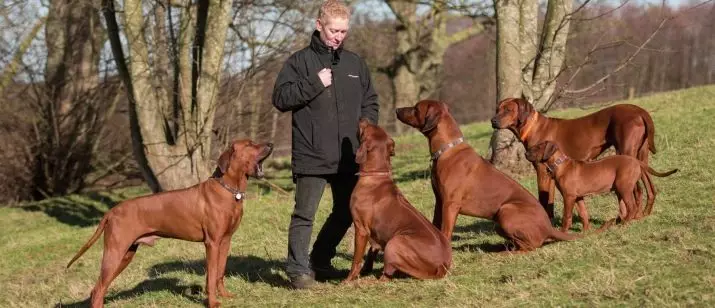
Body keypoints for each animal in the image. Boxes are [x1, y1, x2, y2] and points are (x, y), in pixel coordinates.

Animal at [67, 140, 274, 308]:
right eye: (250, 144)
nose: (271, 144)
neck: (229, 190)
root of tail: (112, 211)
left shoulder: (225, 241)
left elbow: (219, 273)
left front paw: (224, 295)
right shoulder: (212, 243)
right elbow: (212, 274)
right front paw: (213, 302)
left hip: (126, 254)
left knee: (99, 288)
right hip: (115, 252)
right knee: (98, 289)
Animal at [346, 119, 454, 282]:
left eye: (365, 128)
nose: (363, 118)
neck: (375, 175)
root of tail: (442, 266)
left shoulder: (361, 229)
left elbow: (356, 261)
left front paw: (348, 280)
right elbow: (372, 251)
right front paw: (366, 269)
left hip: (395, 242)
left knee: (386, 276)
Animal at [394, 101, 580, 253]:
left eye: (416, 108)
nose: (396, 109)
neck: (447, 150)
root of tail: (549, 227)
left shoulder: (450, 204)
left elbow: (445, 231)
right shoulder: (440, 201)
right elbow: (435, 226)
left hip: (506, 210)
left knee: (531, 245)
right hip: (499, 222)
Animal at [492, 97, 660, 218]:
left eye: (508, 110)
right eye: (497, 109)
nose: (493, 121)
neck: (533, 127)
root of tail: (640, 111)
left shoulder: (541, 171)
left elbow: (543, 200)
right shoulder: (550, 174)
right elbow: (550, 201)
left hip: (626, 152)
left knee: (637, 190)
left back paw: (633, 216)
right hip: (641, 156)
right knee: (650, 187)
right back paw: (644, 213)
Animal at [528, 140, 680, 231]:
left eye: (538, 147)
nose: (525, 153)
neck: (560, 164)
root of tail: (636, 161)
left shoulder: (569, 197)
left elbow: (567, 217)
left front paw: (563, 232)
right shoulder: (578, 197)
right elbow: (584, 214)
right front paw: (586, 231)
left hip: (624, 187)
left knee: (631, 207)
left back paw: (624, 224)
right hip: (620, 189)